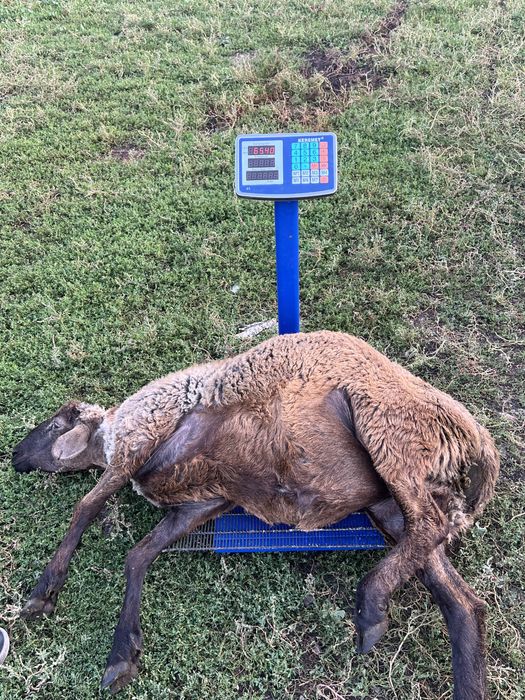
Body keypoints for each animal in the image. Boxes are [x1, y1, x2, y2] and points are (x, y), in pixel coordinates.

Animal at [12, 330, 499, 698]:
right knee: (462, 602)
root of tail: (474, 436)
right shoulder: (204, 502)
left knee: (431, 525)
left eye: (54, 424)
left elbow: (86, 507)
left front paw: (42, 594)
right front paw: (122, 657)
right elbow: (139, 556)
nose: (14, 456)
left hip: (388, 432)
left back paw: (371, 609)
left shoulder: (138, 440)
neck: (111, 436)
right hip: (389, 498)